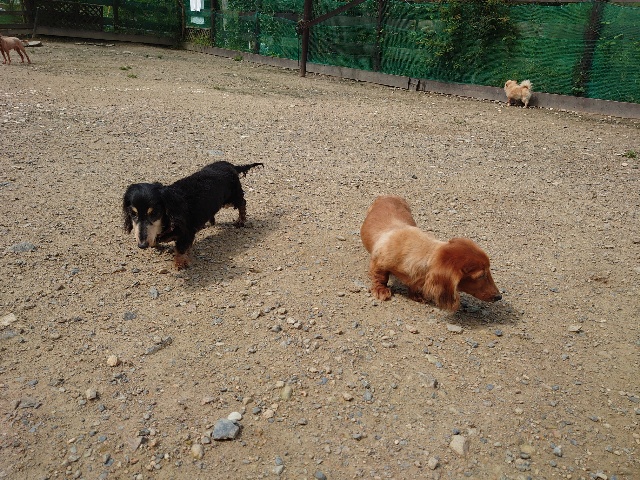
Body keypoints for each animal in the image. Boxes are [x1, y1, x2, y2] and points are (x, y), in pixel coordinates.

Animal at [122, 161, 262, 269]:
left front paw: (179, 264)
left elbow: (180, 249)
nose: (142, 245)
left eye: (154, 213)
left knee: (242, 204)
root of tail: (230, 165)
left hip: (231, 199)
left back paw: (241, 220)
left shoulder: (186, 234)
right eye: (133, 214)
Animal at [360, 195, 501, 312]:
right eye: (481, 275)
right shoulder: (379, 262)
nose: (499, 296)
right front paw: (380, 290)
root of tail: (388, 195)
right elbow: (380, 277)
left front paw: (416, 294)